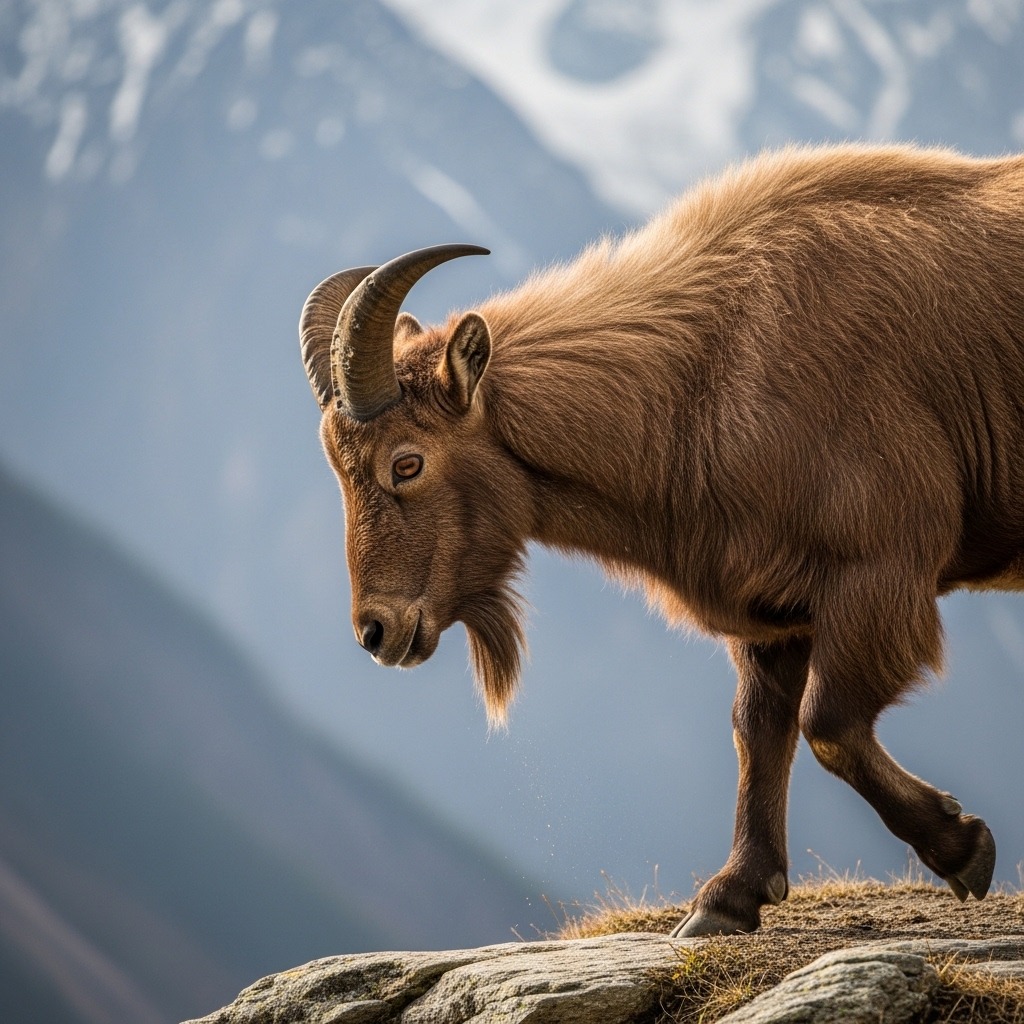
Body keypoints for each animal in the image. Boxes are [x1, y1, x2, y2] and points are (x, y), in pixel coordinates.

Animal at [299, 144, 1023, 935]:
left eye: (406, 462)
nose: (376, 631)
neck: (708, 373)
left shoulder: (877, 569)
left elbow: (826, 724)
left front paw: (963, 847)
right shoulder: (774, 607)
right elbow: (758, 727)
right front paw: (729, 899)